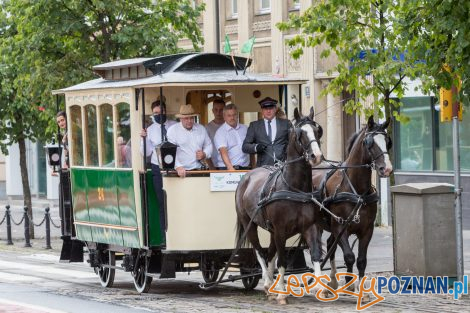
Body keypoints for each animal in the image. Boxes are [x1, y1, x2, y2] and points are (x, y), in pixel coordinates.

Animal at [235, 106, 324, 302]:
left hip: (272, 230)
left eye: (317, 130)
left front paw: (321, 288)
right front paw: (282, 293)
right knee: (260, 252)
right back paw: (268, 283)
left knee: (269, 253)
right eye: (300, 133)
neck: (294, 188)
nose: (316, 156)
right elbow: (282, 260)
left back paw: (270, 285)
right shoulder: (281, 229)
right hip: (249, 224)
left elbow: (315, 255)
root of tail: (246, 177)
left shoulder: (310, 226)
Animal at [312, 115, 392, 298]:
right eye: (369, 142)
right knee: (319, 249)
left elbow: (361, 261)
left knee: (330, 245)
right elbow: (349, 256)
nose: (387, 169)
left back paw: (333, 281)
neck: (357, 191)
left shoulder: (366, 229)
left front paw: (360, 290)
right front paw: (349, 283)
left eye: (387, 141)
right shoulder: (340, 226)